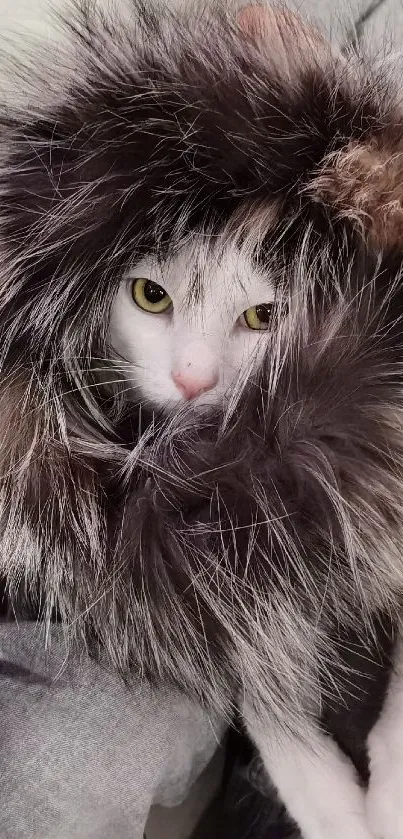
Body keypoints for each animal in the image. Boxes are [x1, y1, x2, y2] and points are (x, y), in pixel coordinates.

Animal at [0, 1, 403, 839]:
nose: (193, 378)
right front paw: (333, 804)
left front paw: (389, 792)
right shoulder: (228, 564)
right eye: (149, 296)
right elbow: (247, 660)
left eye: (262, 316)